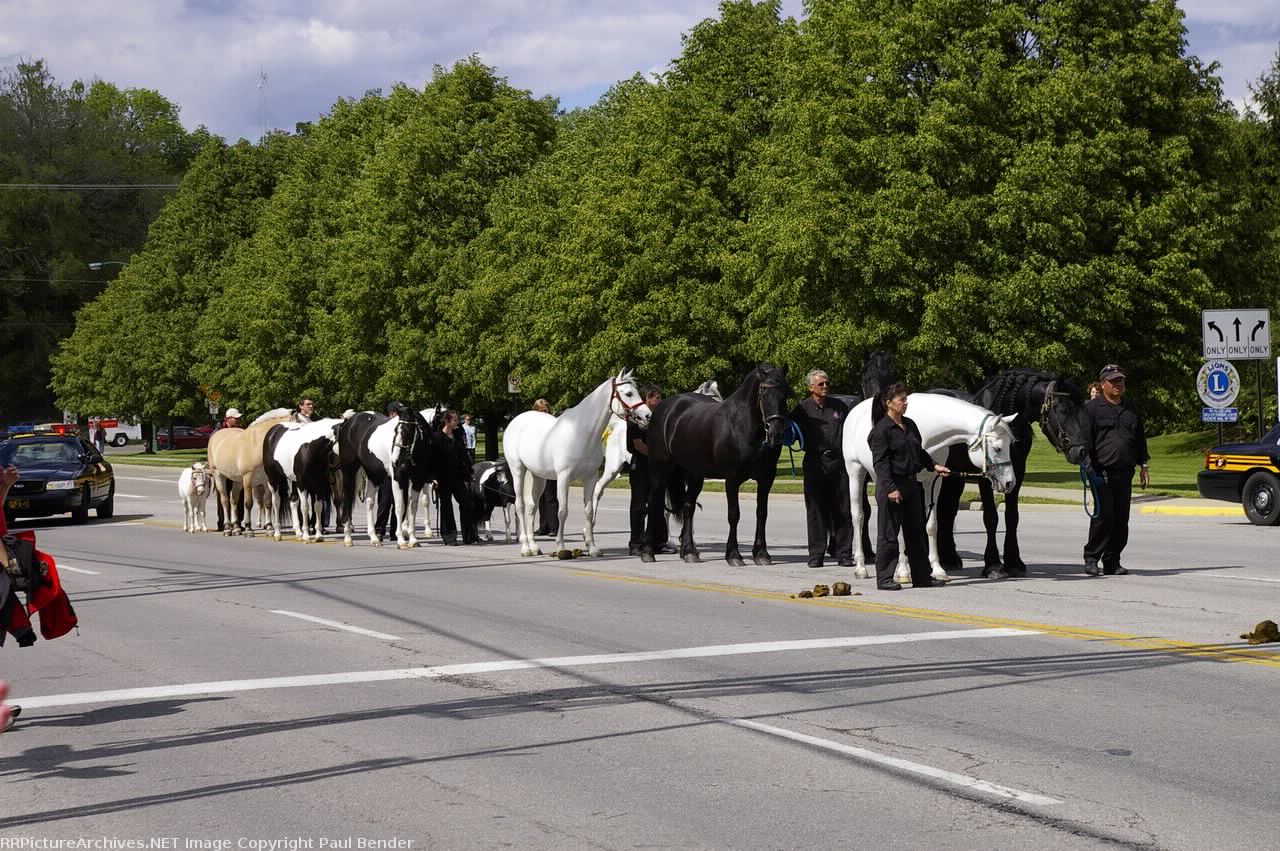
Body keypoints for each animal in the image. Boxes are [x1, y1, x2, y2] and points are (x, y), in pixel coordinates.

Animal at [207, 407, 297, 537]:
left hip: (238, 481)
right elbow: (248, 503)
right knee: (225, 501)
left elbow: (268, 503)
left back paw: (237, 528)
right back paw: (227, 528)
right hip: (219, 476)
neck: (258, 445)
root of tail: (215, 436)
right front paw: (249, 529)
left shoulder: (266, 481)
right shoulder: (248, 479)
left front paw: (269, 528)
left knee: (234, 500)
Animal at [504, 369, 652, 557]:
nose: (647, 415)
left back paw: (534, 546)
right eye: (628, 393)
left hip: (538, 476)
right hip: (518, 470)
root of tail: (515, 421)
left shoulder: (590, 477)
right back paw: (525, 548)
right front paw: (561, 547)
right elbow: (562, 511)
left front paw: (592, 547)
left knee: (532, 506)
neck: (581, 433)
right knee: (520, 505)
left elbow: (588, 511)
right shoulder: (563, 478)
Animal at [642, 363, 792, 566]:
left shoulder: (766, 478)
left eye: (785, 392)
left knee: (688, 507)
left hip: (694, 474)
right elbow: (734, 514)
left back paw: (689, 552)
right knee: (654, 503)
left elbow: (762, 513)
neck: (743, 424)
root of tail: (663, 408)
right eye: (763, 392)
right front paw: (734, 555)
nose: (776, 433)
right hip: (659, 469)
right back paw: (648, 552)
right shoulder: (732, 478)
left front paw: (761, 553)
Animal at [843, 393, 1019, 583]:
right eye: (997, 448)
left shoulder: (933, 482)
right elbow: (902, 528)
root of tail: (855, 411)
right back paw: (861, 567)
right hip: (855, 472)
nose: (1010, 483)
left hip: (878, 477)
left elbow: (931, 525)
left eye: (1010, 445)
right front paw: (903, 571)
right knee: (858, 517)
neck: (927, 432)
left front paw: (937, 569)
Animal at [932, 369, 1088, 576]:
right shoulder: (986, 477)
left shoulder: (1017, 473)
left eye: (1081, 410)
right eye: (1063, 409)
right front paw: (993, 565)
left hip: (954, 479)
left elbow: (1012, 516)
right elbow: (991, 517)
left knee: (947, 511)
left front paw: (1014, 562)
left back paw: (949, 558)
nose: (1082, 451)